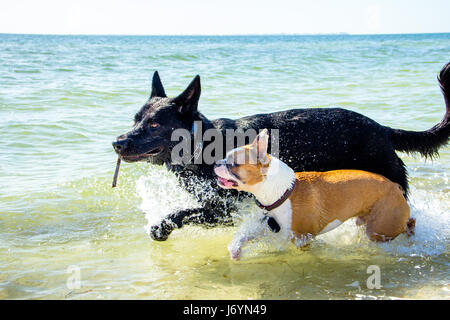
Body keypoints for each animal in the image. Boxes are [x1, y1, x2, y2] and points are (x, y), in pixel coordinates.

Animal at [113, 63, 450, 241]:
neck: (204, 144)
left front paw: (161, 227)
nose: (117, 142)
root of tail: (383, 129)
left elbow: (180, 213)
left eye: (154, 124)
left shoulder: (226, 209)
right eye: (135, 119)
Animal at [214, 129, 414, 258]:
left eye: (232, 164)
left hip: (379, 228)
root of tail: (395, 186)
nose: (216, 163)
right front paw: (235, 249)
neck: (282, 192)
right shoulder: (265, 225)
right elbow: (244, 235)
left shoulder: (299, 238)